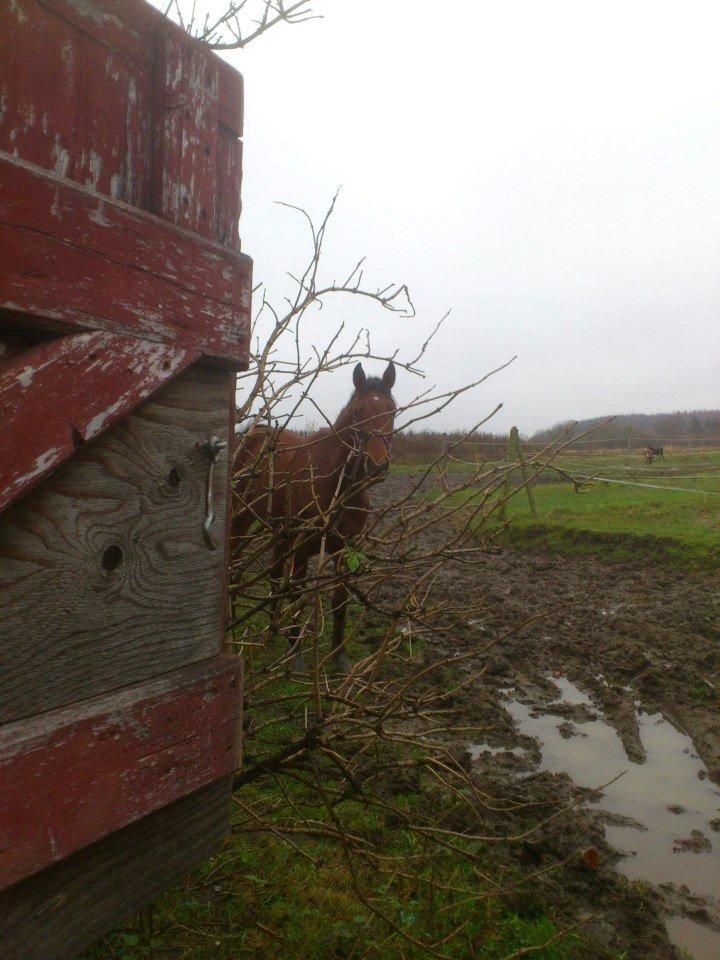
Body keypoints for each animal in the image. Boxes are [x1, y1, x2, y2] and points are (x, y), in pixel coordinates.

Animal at [231, 364, 396, 672]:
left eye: (392, 410)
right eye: (358, 413)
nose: (377, 465)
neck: (337, 485)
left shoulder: (345, 548)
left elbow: (340, 601)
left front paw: (339, 657)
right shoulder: (302, 547)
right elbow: (297, 595)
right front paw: (295, 656)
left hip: (279, 532)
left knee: (274, 575)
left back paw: (273, 627)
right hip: (241, 520)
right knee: (236, 563)